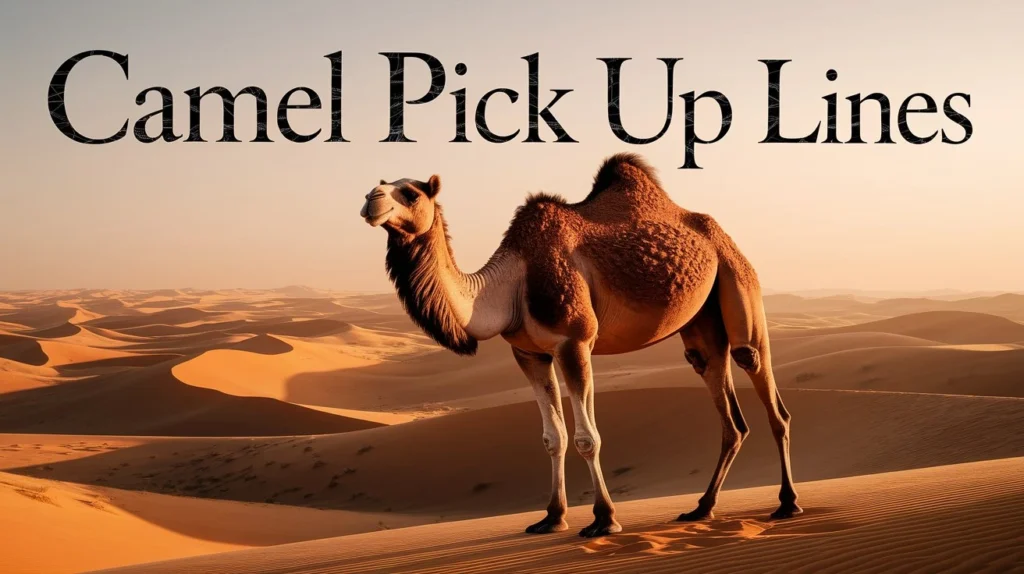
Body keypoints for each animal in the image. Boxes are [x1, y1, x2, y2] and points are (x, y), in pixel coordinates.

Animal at [360, 153, 801, 537]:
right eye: (382, 186)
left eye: (410, 193)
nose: (369, 200)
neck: (510, 285)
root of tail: (718, 233)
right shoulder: (530, 353)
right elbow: (553, 437)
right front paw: (552, 518)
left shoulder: (574, 341)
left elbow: (588, 438)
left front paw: (604, 519)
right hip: (701, 323)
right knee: (725, 403)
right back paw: (701, 508)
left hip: (738, 277)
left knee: (761, 380)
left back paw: (787, 503)